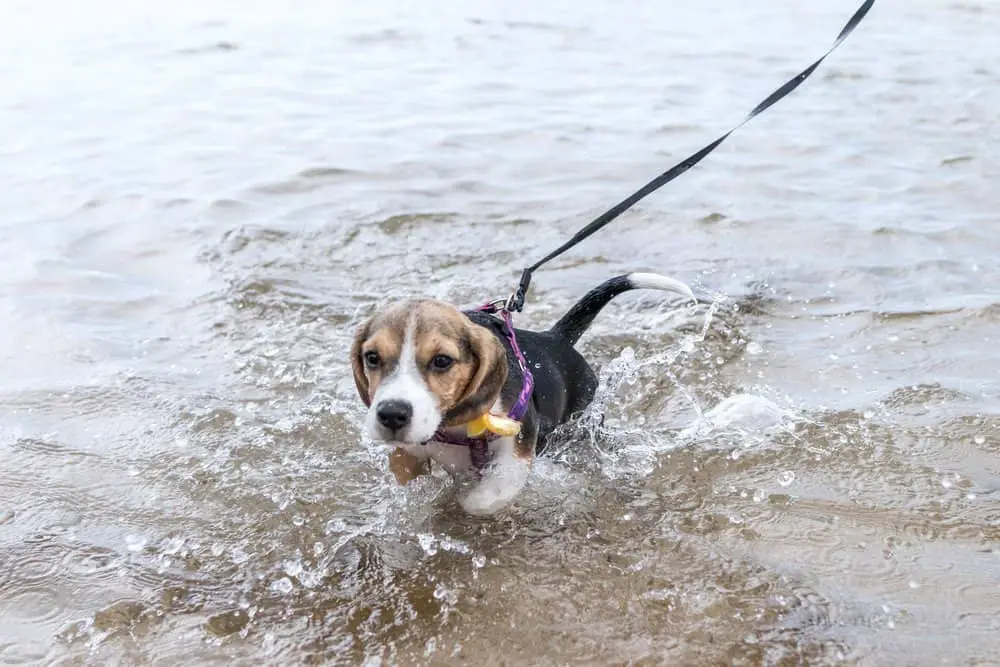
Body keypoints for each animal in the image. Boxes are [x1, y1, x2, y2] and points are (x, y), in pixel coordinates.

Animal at [352, 272, 696, 516]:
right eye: (372, 357)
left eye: (442, 361)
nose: (391, 414)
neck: (452, 424)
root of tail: (554, 338)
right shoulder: (410, 452)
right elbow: (407, 475)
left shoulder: (517, 443)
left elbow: (486, 497)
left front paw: (465, 498)